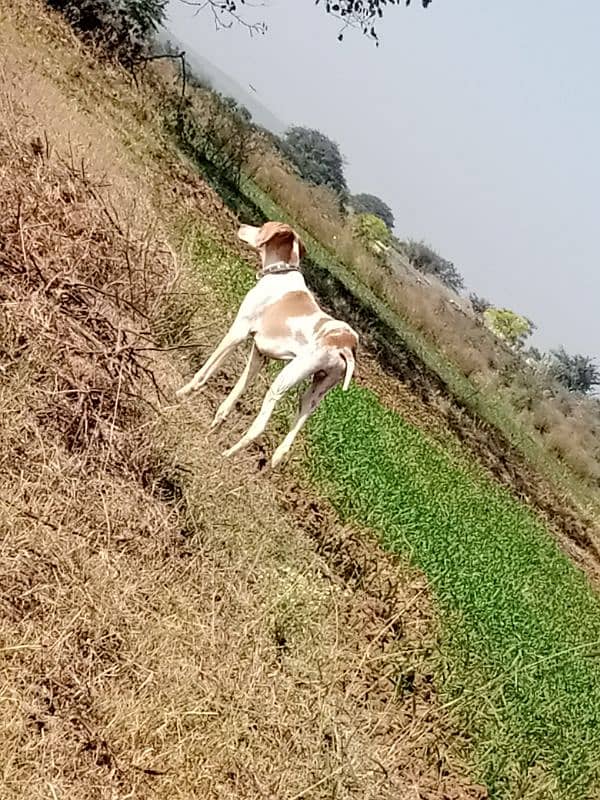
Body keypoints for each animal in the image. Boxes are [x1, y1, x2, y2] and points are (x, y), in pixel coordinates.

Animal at [176, 220, 358, 468]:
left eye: (262, 227)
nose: (241, 226)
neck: (280, 273)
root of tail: (345, 345)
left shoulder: (238, 331)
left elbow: (207, 369)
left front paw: (183, 391)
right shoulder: (259, 355)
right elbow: (235, 392)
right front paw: (215, 424)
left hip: (282, 382)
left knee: (260, 426)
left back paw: (228, 454)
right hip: (314, 394)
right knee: (286, 444)